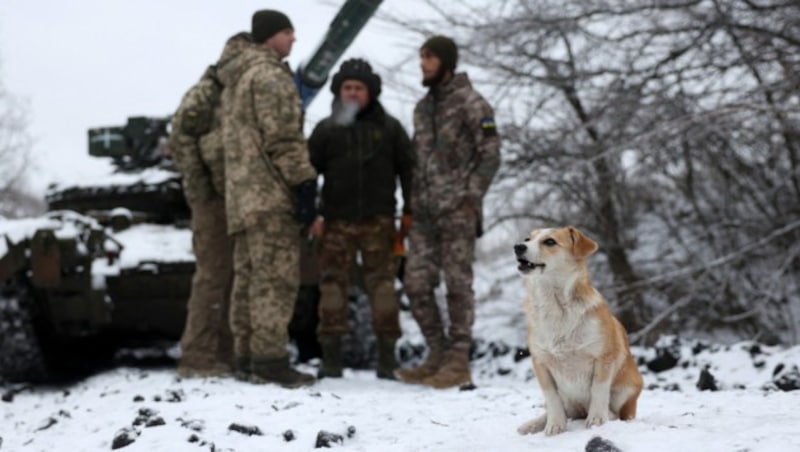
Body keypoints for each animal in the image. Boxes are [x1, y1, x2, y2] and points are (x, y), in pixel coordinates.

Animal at [512, 226, 644, 434]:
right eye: (527, 239)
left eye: (550, 242)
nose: (518, 246)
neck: (556, 306)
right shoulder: (541, 363)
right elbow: (552, 397)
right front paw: (555, 424)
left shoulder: (604, 357)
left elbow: (598, 389)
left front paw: (597, 419)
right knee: (560, 409)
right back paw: (533, 424)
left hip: (629, 386)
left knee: (618, 412)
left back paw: (608, 415)